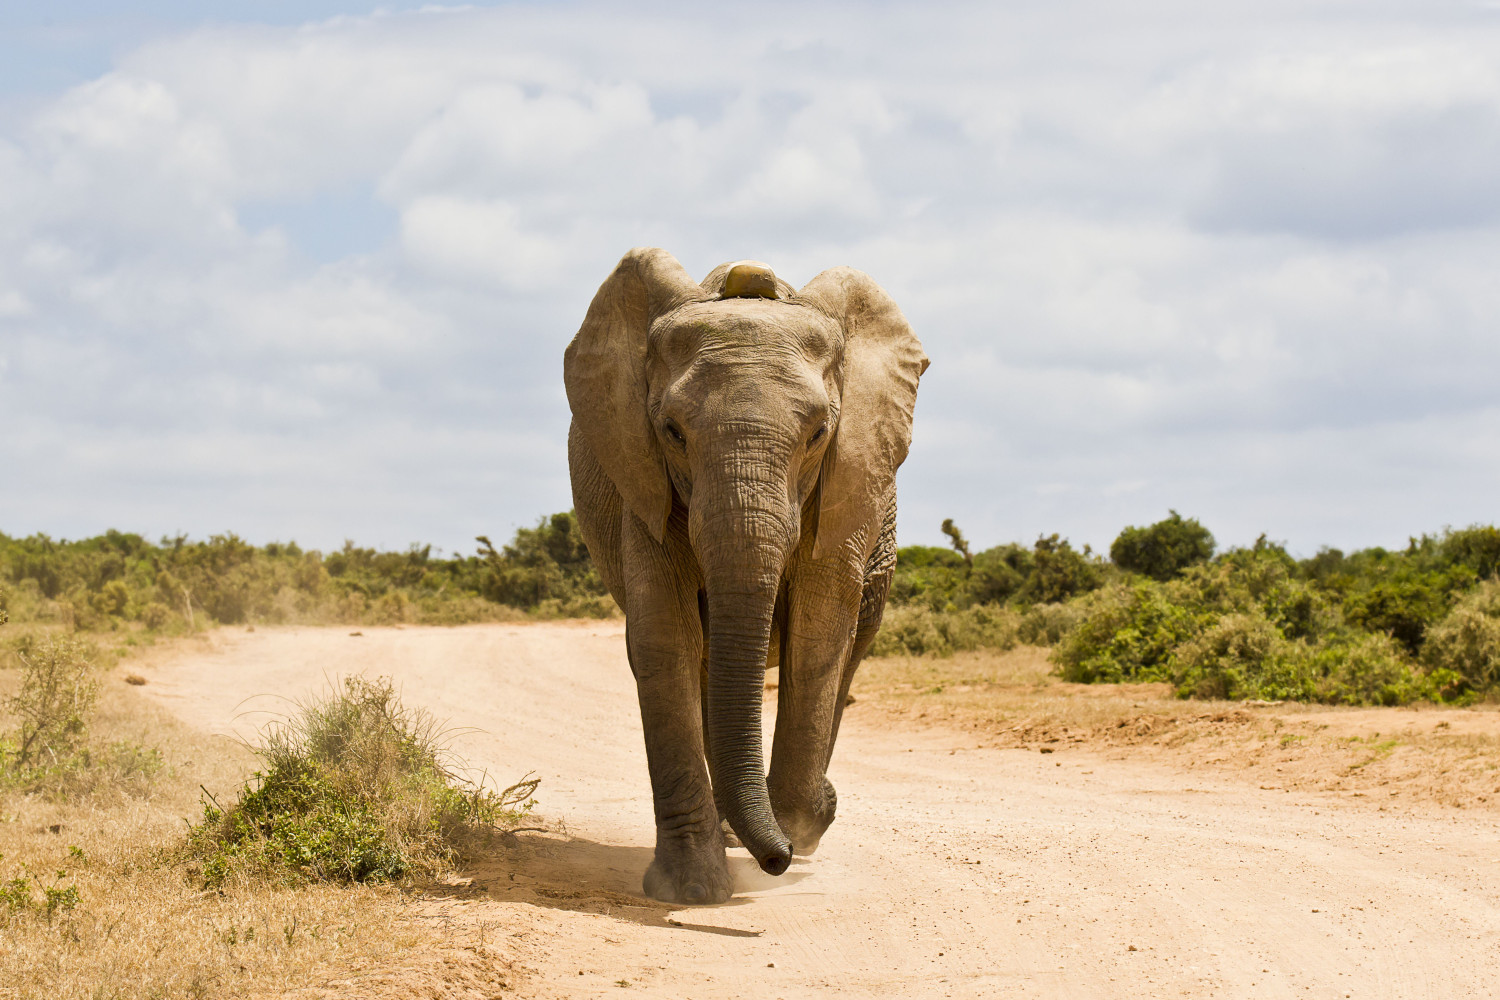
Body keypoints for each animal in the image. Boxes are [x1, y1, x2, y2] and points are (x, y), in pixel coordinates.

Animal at [564, 245, 924, 905]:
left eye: (818, 434)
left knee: (851, 647)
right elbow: (665, 637)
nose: (777, 861)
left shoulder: (844, 484)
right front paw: (690, 892)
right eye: (673, 432)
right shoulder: (644, 480)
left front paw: (806, 819)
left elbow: (818, 635)